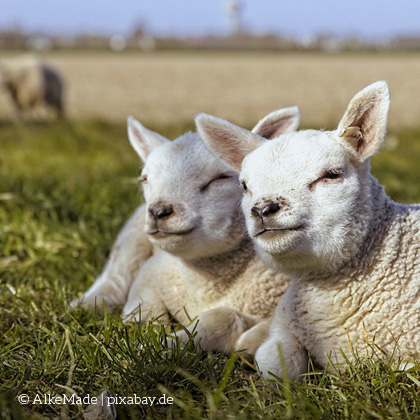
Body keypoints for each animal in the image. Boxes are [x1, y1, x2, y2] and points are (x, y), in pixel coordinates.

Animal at [74, 107, 300, 354]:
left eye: (221, 178)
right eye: (145, 179)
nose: (158, 211)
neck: (205, 287)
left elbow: (227, 319)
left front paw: (171, 343)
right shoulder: (151, 272)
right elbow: (141, 308)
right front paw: (148, 339)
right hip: (132, 236)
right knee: (116, 275)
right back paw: (86, 304)